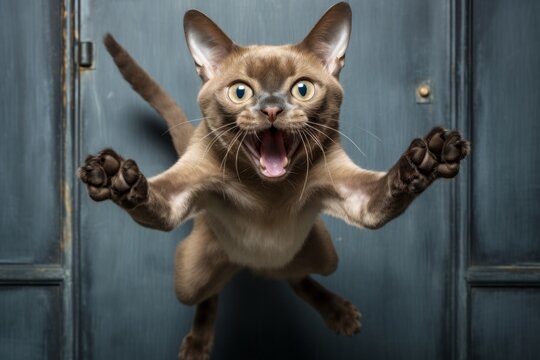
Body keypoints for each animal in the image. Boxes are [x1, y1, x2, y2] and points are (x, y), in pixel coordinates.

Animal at [79, 2, 468, 360]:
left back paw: (340, 314)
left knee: (293, 276)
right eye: (240, 92)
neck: (268, 188)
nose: (270, 110)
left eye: (302, 90)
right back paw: (198, 345)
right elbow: (148, 193)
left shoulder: (360, 200)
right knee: (211, 292)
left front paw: (431, 157)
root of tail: (252, 265)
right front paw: (113, 175)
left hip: (327, 256)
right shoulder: (177, 198)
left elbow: (392, 184)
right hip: (187, 280)